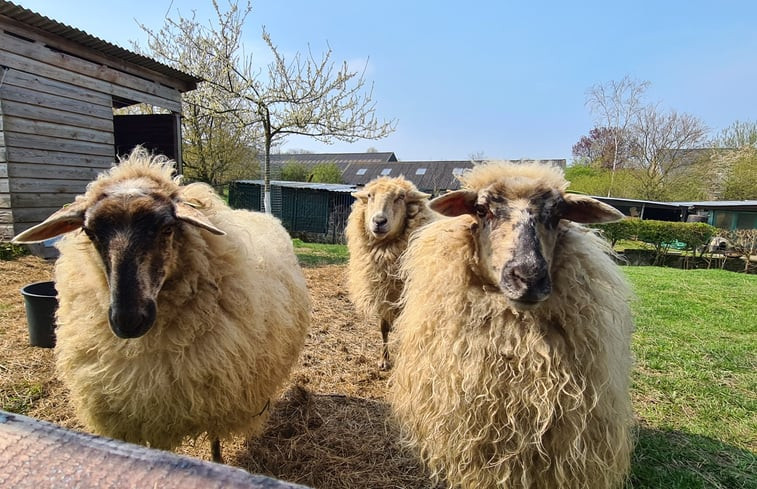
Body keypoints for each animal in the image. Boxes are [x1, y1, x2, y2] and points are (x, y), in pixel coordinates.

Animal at [346, 177, 434, 368]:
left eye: (400, 197)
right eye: (370, 195)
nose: (379, 221)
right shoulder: (383, 294)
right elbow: (384, 327)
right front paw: (384, 359)